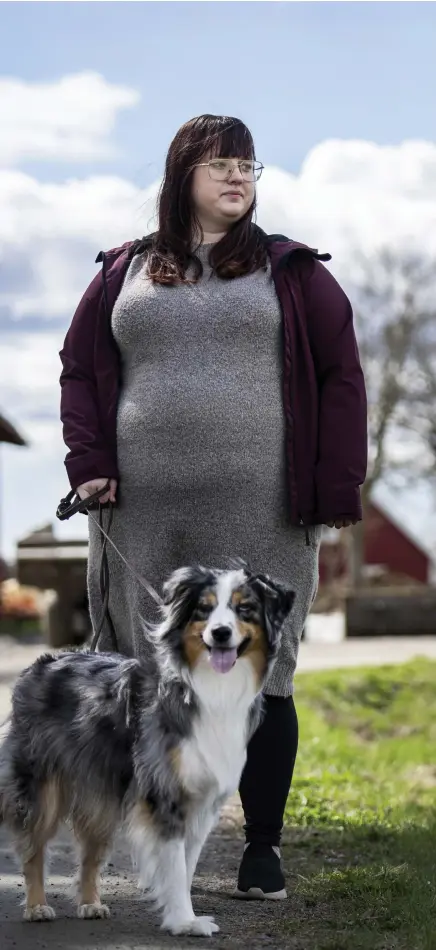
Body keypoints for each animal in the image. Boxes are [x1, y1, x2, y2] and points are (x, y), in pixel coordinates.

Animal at [0, 564, 294, 936]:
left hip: (103, 796)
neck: (211, 687)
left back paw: (90, 903)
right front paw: (185, 922)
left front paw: (183, 914)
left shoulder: (201, 800)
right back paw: (37, 906)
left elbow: (186, 864)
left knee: (89, 854)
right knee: (34, 848)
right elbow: (175, 864)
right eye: (204, 609)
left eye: (245, 609)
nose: (221, 633)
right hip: (42, 788)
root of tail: (42, 663)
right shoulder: (165, 792)